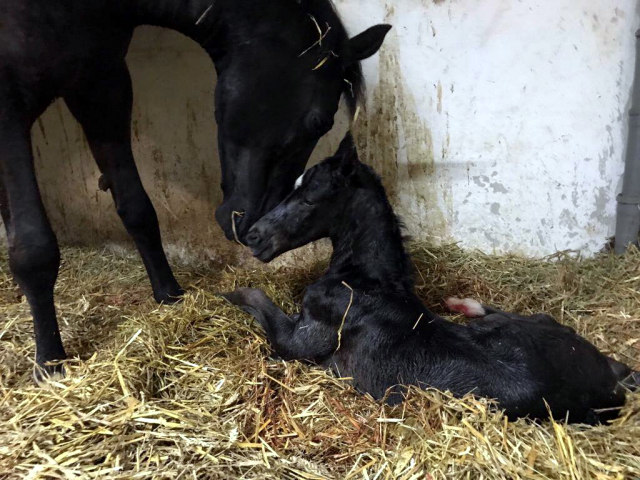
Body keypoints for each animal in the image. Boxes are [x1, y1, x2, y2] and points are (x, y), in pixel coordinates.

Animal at [222, 131, 636, 424]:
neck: (364, 282)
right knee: (529, 314)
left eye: (310, 197)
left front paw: (225, 293)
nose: (253, 235)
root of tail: (612, 380)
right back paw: (460, 303)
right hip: (523, 327)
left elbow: (255, 298)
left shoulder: (297, 341)